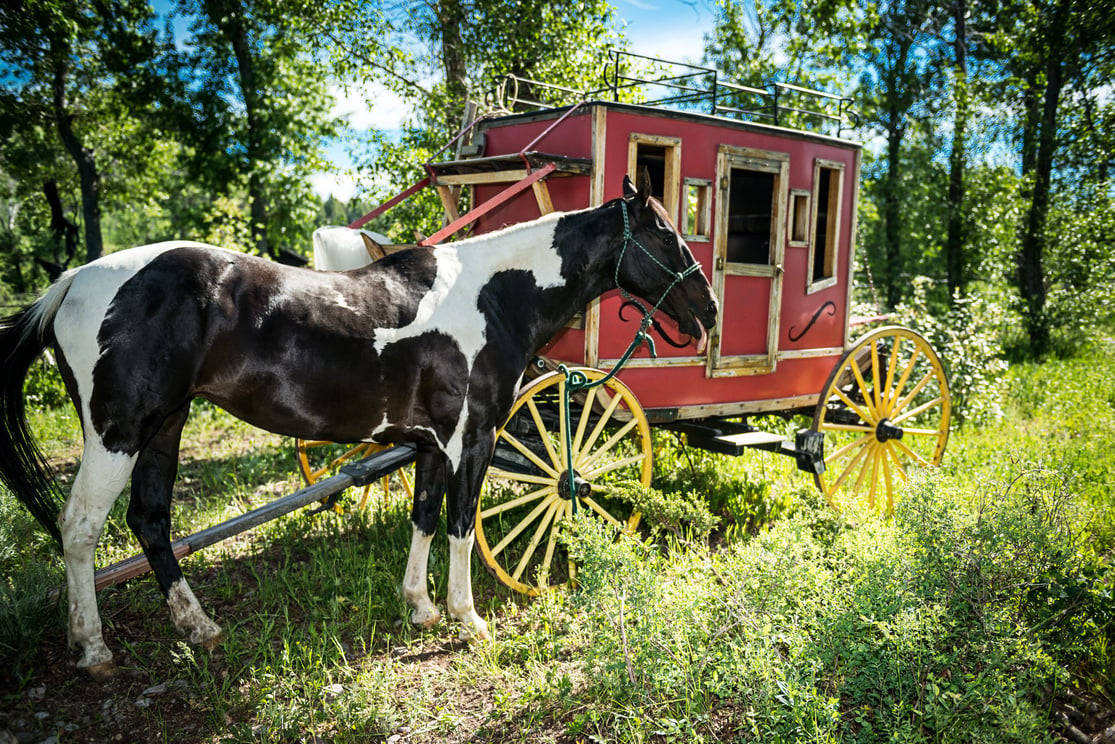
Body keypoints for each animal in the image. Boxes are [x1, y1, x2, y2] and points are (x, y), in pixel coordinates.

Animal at [0, 172, 713, 673]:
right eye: (667, 236)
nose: (706, 311)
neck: (493, 294)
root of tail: (75, 281)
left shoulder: (429, 446)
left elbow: (423, 518)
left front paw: (420, 608)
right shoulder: (474, 440)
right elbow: (461, 526)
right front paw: (468, 619)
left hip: (163, 428)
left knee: (149, 521)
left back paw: (197, 627)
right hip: (118, 435)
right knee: (80, 528)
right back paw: (92, 648)